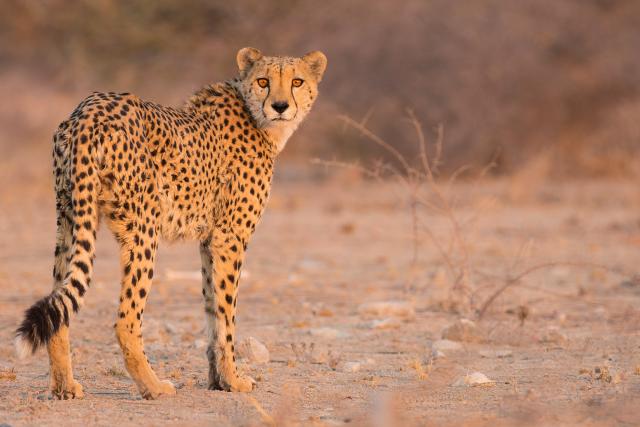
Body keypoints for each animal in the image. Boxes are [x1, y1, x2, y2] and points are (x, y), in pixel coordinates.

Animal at [15, 47, 327, 400]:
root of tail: (89, 109)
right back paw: (154, 386)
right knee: (126, 320)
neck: (257, 119)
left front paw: (218, 380)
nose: (280, 106)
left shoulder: (210, 241)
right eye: (263, 81)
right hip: (143, 230)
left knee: (60, 302)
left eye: (297, 81)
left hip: (70, 217)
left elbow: (212, 308)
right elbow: (227, 316)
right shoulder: (230, 237)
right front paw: (234, 380)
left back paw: (64, 386)